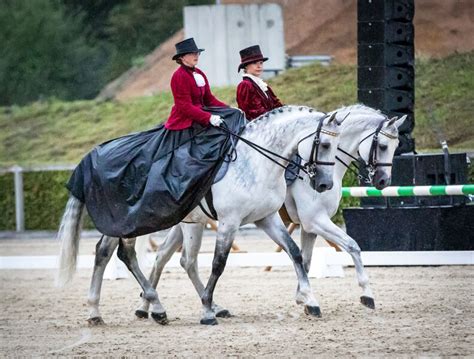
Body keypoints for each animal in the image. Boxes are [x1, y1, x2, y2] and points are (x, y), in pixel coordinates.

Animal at [55, 105, 342, 326]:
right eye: (325, 144)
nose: (324, 184)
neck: (255, 163)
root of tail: (92, 156)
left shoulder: (267, 218)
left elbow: (294, 252)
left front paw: (311, 301)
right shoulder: (229, 222)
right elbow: (218, 263)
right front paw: (206, 311)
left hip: (147, 223)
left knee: (119, 255)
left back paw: (114, 310)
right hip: (129, 222)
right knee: (120, 254)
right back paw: (145, 307)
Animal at [136, 104, 408, 320]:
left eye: (396, 146)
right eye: (384, 145)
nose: (383, 181)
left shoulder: (308, 227)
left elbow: (304, 258)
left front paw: (303, 298)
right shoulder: (315, 221)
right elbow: (352, 245)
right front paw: (366, 294)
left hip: (188, 222)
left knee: (166, 256)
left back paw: (148, 306)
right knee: (171, 257)